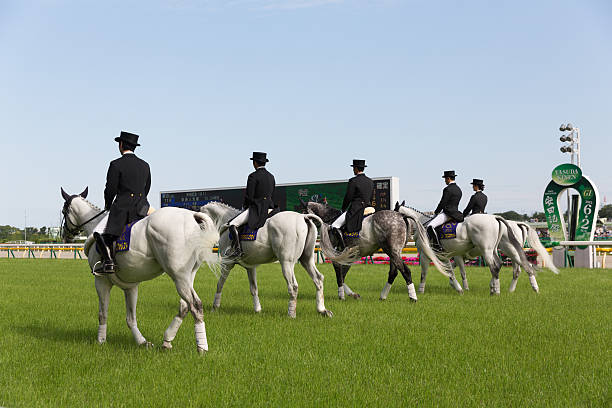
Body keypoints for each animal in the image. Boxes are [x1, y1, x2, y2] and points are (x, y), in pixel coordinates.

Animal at [59, 186, 220, 352]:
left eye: (64, 211)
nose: (64, 235)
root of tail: (191, 217)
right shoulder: (131, 286)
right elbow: (131, 318)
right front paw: (142, 342)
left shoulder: (101, 280)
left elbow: (102, 313)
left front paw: (101, 341)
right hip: (188, 276)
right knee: (184, 306)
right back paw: (167, 340)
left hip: (179, 276)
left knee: (195, 305)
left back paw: (202, 347)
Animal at [198, 201, 332, 318]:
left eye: (199, 224)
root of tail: (303, 216)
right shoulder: (250, 266)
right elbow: (253, 288)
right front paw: (258, 310)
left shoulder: (228, 263)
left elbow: (220, 284)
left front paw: (215, 307)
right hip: (306, 259)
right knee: (318, 279)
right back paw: (322, 310)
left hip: (286, 262)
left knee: (293, 286)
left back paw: (291, 314)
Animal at [304, 202, 452, 302]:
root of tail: (402, 216)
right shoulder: (349, 255)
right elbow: (343, 274)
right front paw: (352, 294)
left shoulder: (338, 255)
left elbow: (339, 274)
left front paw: (342, 295)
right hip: (393, 252)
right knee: (394, 272)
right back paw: (383, 296)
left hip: (391, 251)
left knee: (405, 271)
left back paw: (412, 297)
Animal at [396, 206, 536, 294]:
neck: (422, 224)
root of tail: (496, 218)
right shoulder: (449, 255)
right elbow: (451, 269)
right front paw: (456, 285)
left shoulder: (429, 254)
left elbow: (427, 273)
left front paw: (421, 290)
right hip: (498, 251)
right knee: (508, 266)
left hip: (500, 250)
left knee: (504, 267)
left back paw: (500, 289)